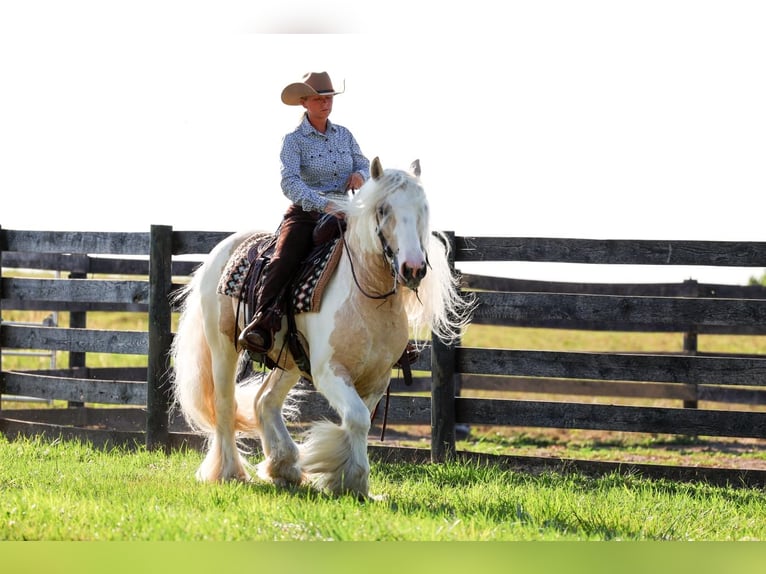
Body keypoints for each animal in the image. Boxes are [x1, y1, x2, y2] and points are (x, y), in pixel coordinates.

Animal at [170, 157, 473, 498]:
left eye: (423, 207)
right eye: (383, 209)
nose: (413, 268)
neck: (366, 295)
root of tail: (222, 250)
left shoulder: (377, 377)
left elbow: (359, 419)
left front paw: (350, 482)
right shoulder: (329, 371)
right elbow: (357, 418)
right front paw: (352, 480)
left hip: (288, 360)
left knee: (264, 400)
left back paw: (284, 467)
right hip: (223, 347)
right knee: (225, 404)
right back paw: (230, 472)